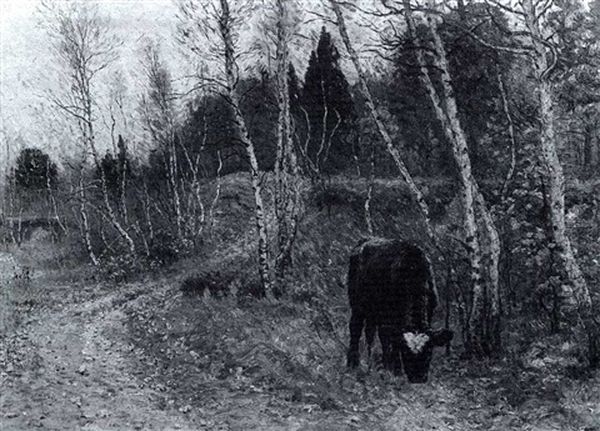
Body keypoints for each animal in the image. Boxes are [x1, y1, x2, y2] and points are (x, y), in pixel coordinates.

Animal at [344, 240, 452, 384]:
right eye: (405, 352)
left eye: (429, 351)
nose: (418, 378)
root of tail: (365, 241)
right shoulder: (391, 316)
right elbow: (393, 341)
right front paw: (397, 371)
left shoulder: (430, 310)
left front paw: (390, 367)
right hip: (357, 305)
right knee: (356, 329)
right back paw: (353, 363)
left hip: (374, 311)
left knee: (371, 333)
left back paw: (374, 362)